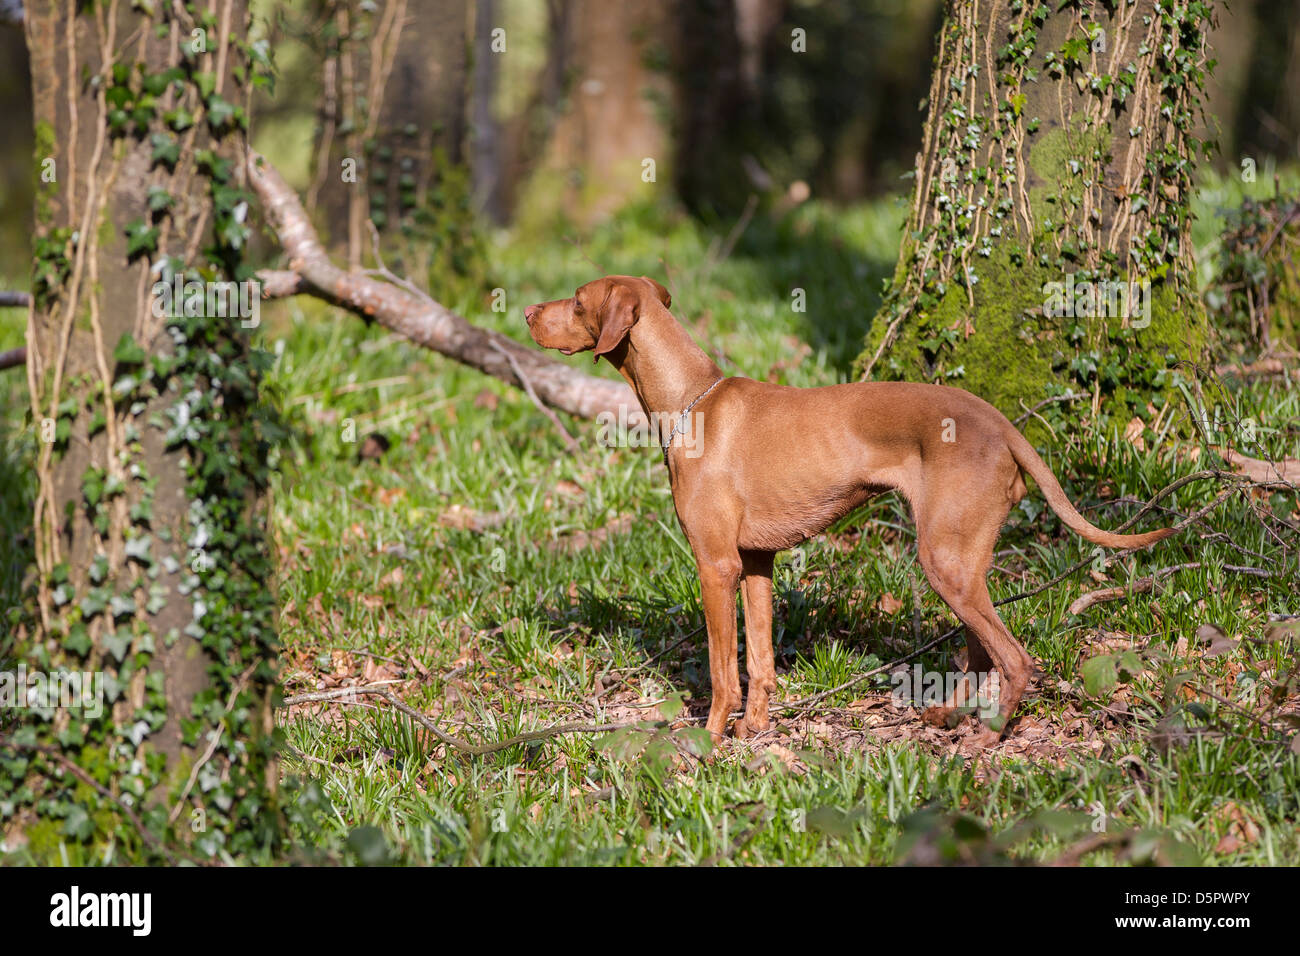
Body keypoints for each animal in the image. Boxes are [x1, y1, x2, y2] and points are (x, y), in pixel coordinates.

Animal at [522, 277, 1175, 749]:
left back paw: (987, 741)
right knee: (980, 654)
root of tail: (1002, 424)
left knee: (1015, 659)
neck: (692, 400)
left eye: (577, 301)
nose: (526, 311)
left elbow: (722, 670)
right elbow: (760, 660)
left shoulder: (716, 566)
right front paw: (754, 728)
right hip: (961, 565)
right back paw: (948, 717)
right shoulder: (756, 564)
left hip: (944, 561)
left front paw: (709, 739)